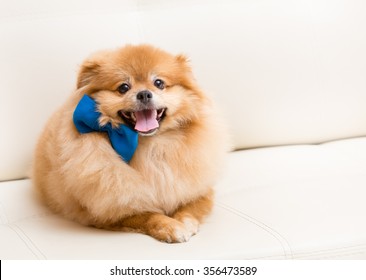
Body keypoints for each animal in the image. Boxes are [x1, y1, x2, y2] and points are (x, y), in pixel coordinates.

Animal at [32, 44, 226, 243]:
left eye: (159, 83)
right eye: (124, 87)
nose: (144, 94)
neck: (150, 145)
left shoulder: (200, 191)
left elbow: (190, 208)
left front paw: (185, 222)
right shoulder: (110, 212)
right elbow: (149, 215)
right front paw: (171, 226)